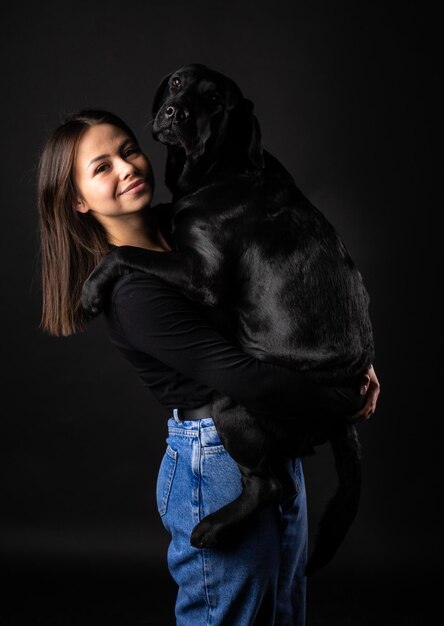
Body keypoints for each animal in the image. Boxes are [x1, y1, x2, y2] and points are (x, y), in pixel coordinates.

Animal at [82, 63, 374, 576]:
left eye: (216, 100)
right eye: (178, 83)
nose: (175, 113)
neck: (219, 171)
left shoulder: (202, 276)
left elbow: (125, 251)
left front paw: (93, 287)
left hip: (234, 405)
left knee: (271, 485)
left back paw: (214, 527)